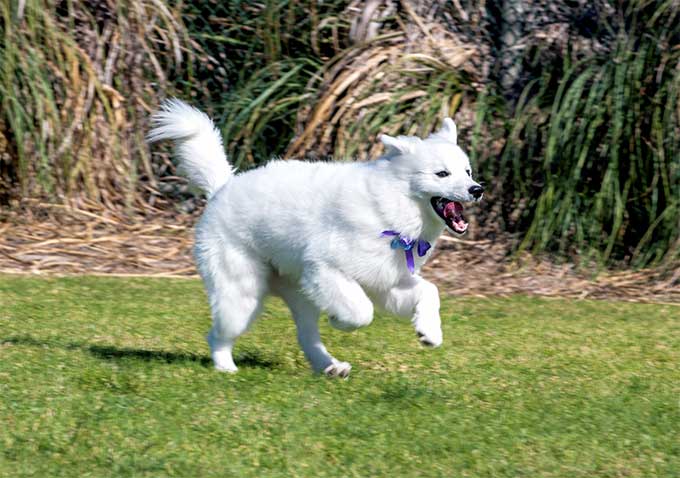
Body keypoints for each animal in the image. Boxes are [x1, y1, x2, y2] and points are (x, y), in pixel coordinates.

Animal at [147, 100, 484, 378]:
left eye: (467, 172)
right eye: (442, 174)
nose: (477, 189)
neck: (389, 204)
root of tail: (222, 187)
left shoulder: (387, 282)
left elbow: (430, 292)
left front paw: (430, 332)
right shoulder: (327, 270)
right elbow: (362, 312)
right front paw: (339, 321)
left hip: (301, 297)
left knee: (306, 337)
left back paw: (330, 367)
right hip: (242, 297)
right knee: (218, 335)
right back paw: (226, 367)